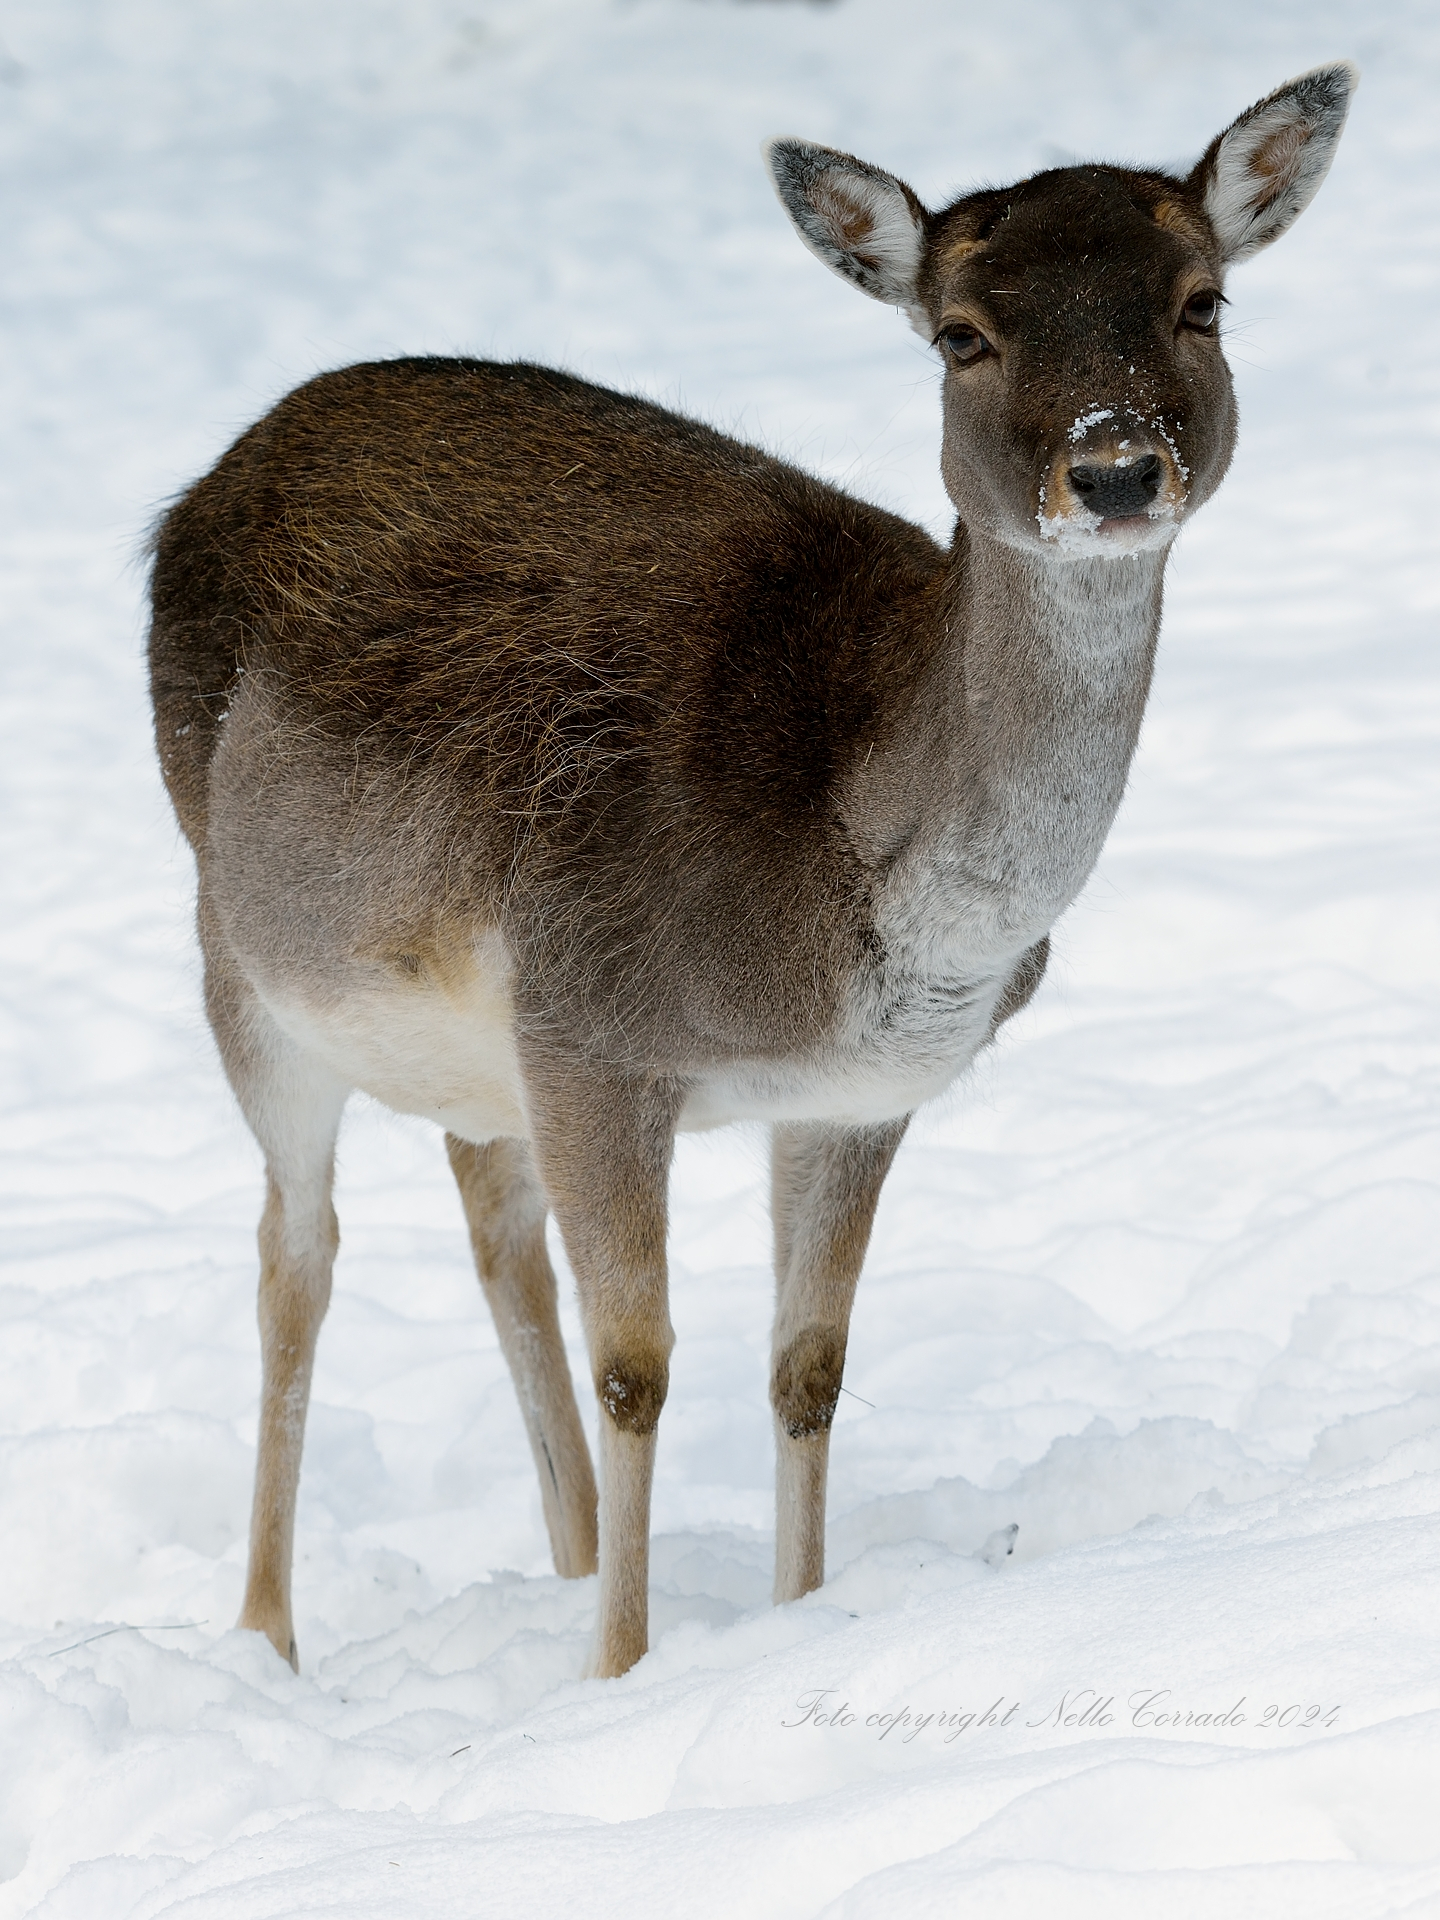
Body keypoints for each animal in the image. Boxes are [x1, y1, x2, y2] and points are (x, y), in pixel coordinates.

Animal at [147, 64, 1355, 1679]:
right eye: (961, 333)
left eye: (1203, 302)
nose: (1111, 471)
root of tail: (216, 471)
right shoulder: (593, 1024)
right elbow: (639, 1365)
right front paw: (618, 1669)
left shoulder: (855, 1095)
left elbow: (808, 1367)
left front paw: (795, 1619)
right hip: (242, 948)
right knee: (297, 1255)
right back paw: (269, 1638)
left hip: (467, 1030)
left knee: (487, 1206)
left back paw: (564, 1557)